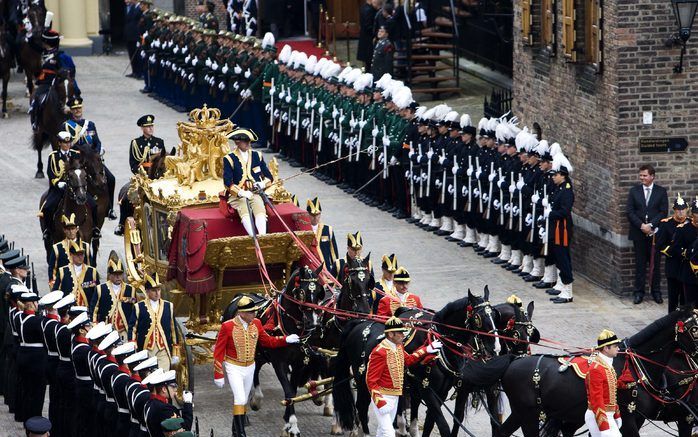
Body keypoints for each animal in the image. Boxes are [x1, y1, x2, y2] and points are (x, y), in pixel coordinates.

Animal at [332, 286, 500, 436]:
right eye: (478, 318)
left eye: (494, 315)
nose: (496, 349)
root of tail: (359, 322)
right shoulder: (426, 390)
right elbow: (443, 427)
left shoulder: (441, 393)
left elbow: (430, 424)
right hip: (363, 380)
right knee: (361, 407)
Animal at [498, 306, 698, 436]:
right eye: (694, 329)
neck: (637, 366)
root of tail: (513, 361)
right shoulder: (630, 418)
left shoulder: (641, 418)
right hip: (529, 415)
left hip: (529, 414)